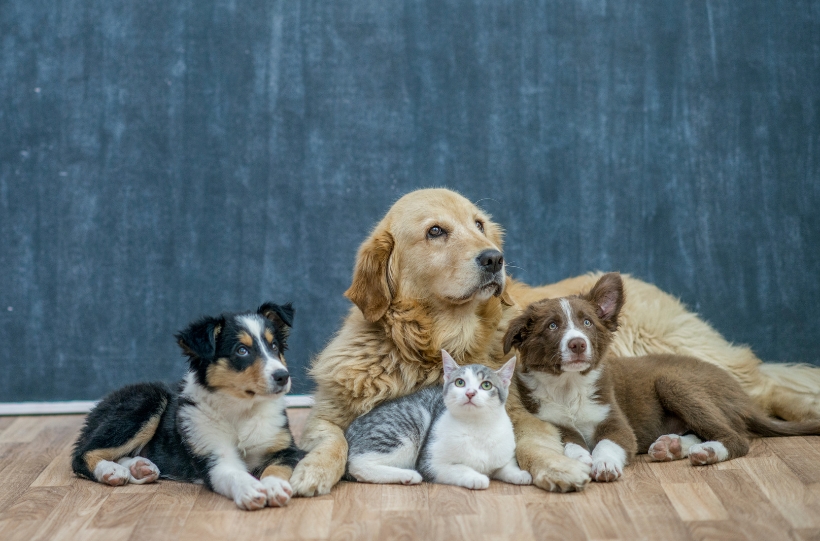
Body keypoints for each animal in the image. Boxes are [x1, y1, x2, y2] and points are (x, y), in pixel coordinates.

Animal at [72, 302, 304, 508]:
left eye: (274, 346)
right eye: (241, 351)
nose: (283, 376)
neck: (242, 409)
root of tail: (100, 404)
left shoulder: (287, 449)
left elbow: (276, 468)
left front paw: (274, 487)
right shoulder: (213, 454)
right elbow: (234, 474)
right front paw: (251, 489)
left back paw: (139, 467)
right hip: (147, 400)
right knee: (81, 455)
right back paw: (110, 471)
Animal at [344, 350, 532, 490]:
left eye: (486, 385)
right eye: (460, 382)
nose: (470, 393)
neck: (476, 427)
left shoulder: (504, 453)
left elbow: (506, 466)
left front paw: (520, 474)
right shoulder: (430, 463)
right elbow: (458, 468)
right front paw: (476, 477)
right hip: (408, 424)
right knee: (358, 464)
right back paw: (407, 475)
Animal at [502, 274, 820, 480]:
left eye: (588, 322)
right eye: (552, 326)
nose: (578, 344)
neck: (570, 388)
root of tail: (744, 398)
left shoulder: (617, 423)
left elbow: (608, 443)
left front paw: (603, 464)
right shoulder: (552, 421)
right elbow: (572, 442)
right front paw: (581, 460)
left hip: (673, 381)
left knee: (736, 437)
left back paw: (708, 452)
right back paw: (674, 446)